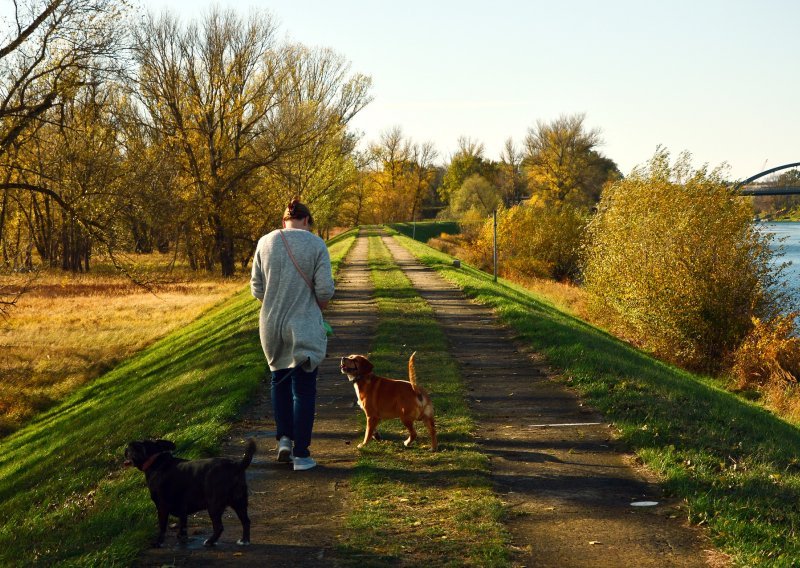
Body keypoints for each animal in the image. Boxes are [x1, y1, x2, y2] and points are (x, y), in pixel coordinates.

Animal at [123, 438, 255, 548]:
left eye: (133, 447)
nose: (126, 448)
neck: (155, 460)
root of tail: (236, 466)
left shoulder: (162, 507)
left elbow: (162, 526)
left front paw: (158, 543)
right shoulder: (182, 507)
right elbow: (182, 524)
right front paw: (182, 538)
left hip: (214, 505)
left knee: (219, 527)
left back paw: (210, 542)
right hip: (239, 502)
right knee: (246, 521)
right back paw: (244, 540)